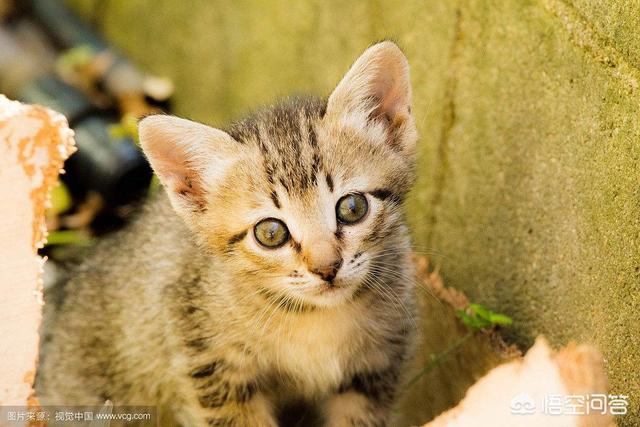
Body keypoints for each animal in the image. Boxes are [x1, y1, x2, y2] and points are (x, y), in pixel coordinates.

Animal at [38, 41, 420, 427]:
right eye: (270, 233)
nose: (327, 268)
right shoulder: (209, 364)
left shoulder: (377, 366)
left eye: (352, 208)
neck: (314, 318)